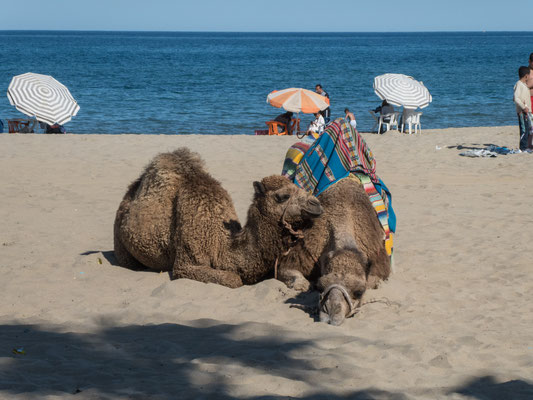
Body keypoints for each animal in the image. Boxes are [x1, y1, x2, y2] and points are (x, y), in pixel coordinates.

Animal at [114, 147, 322, 288]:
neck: (222, 244)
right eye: (283, 196)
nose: (316, 204)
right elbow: (234, 279)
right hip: (119, 237)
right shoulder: (187, 263)